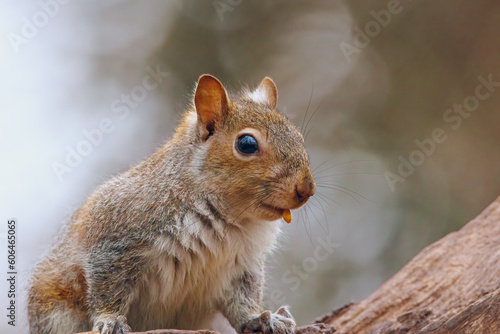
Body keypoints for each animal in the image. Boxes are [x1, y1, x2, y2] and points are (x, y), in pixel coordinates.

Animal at [27, 75, 314, 334]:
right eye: (246, 144)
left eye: (299, 137)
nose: (306, 189)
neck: (228, 218)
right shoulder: (114, 237)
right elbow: (107, 286)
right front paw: (110, 320)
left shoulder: (242, 265)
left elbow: (243, 300)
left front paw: (261, 319)